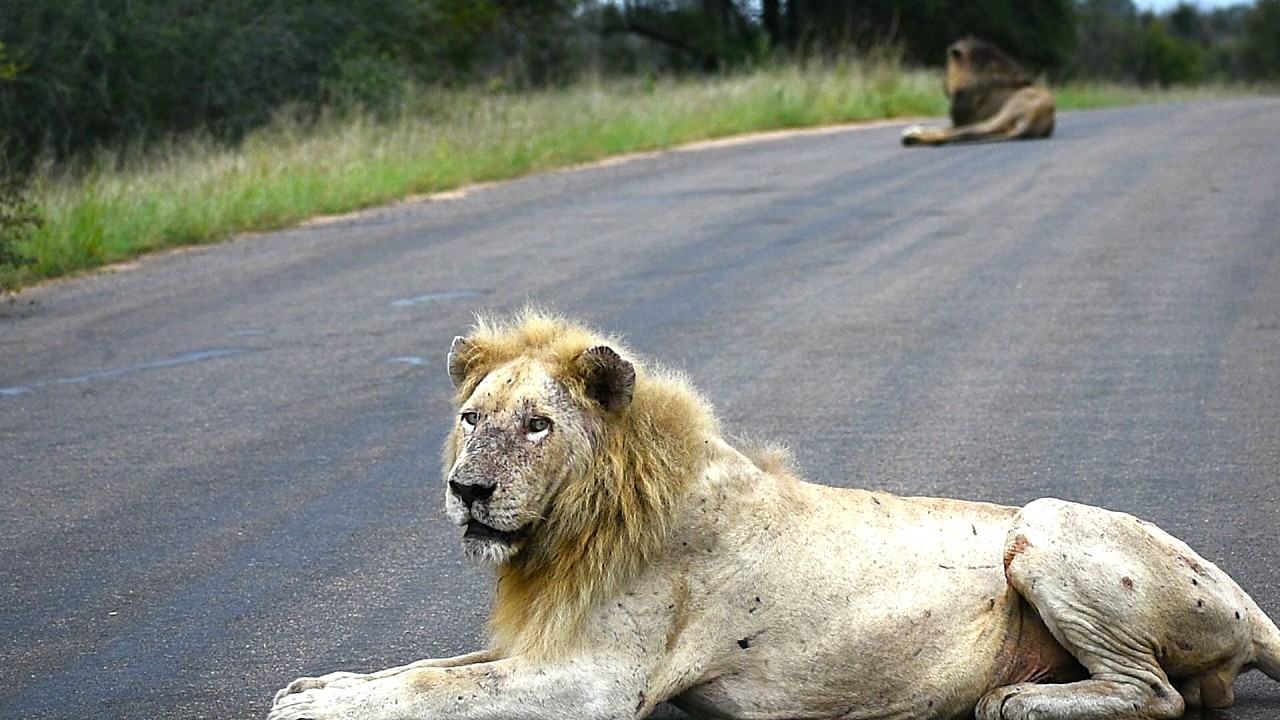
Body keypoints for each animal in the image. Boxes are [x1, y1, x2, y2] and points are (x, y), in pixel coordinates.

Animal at [269, 309, 1280, 720]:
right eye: (472, 419)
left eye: (536, 426)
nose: (468, 492)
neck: (574, 529)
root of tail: (1244, 598)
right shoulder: (543, 646)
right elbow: (429, 668)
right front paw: (319, 685)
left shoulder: (595, 683)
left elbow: (436, 689)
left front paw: (305, 706)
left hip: (1044, 524)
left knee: (1156, 693)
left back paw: (1014, 700)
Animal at [902, 37, 1055, 146]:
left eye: (947, 67)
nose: (943, 84)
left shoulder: (961, 120)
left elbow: (943, 128)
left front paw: (913, 130)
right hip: (1002, 128)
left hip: (1005, 112)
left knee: (956, 133)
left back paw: (911, 137)